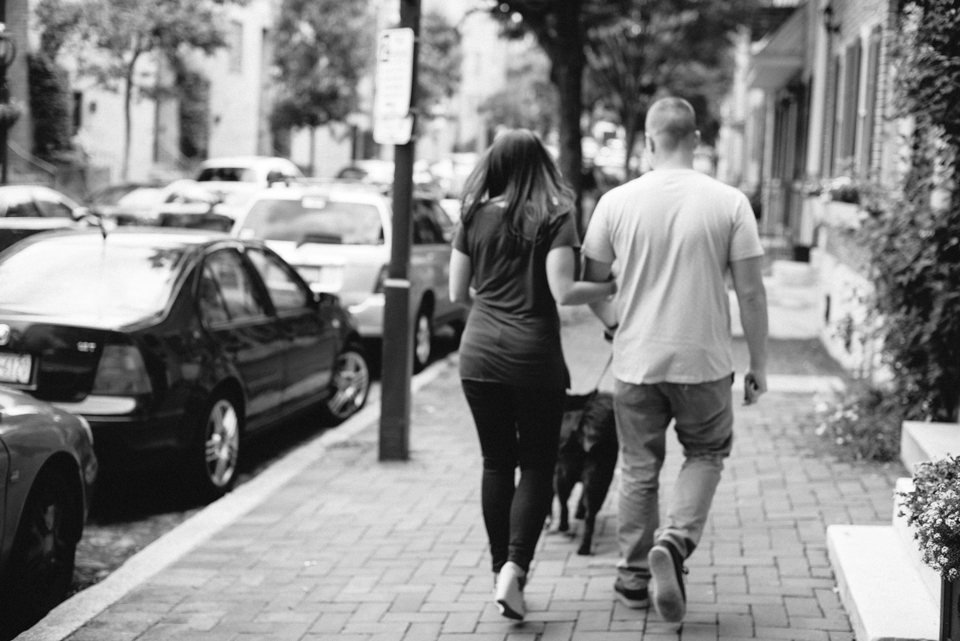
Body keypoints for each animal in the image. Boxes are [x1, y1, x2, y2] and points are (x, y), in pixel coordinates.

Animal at [552, 390, 620, 556]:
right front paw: (579, 511)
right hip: (599, 480)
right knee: (590, 516)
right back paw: (584, 547)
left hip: (562, 477)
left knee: (564, 505)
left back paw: (563, 527)